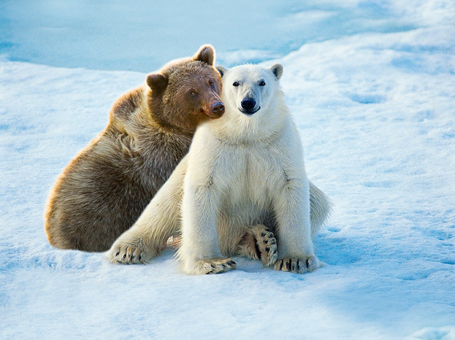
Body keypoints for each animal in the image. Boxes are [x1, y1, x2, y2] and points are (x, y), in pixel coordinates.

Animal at [108, 63, 334, 274]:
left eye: (262, 82)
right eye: (236, 83)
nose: (248, 102)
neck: (246, 135)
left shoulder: (279, 143)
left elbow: (290, 187)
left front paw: (295, 260)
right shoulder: (214, 148)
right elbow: (203, 189)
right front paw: (212, 263)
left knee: (317, 203)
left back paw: (261, 241)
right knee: (163, 207)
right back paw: (128, 249)